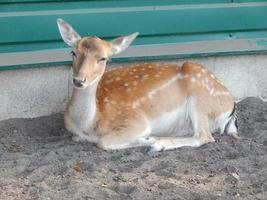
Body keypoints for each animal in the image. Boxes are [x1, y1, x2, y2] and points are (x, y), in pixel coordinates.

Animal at [56, 18, 239, 152]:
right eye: (73, 52)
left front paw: (148, 139)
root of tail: (232, 106)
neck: (90, 124)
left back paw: (158, 144)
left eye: (103, 58)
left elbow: (103, 142)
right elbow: (79, 138)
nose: (79, 80)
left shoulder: (136, 121)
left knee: (204, 136)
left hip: (200, 99)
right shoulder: (76, 134)